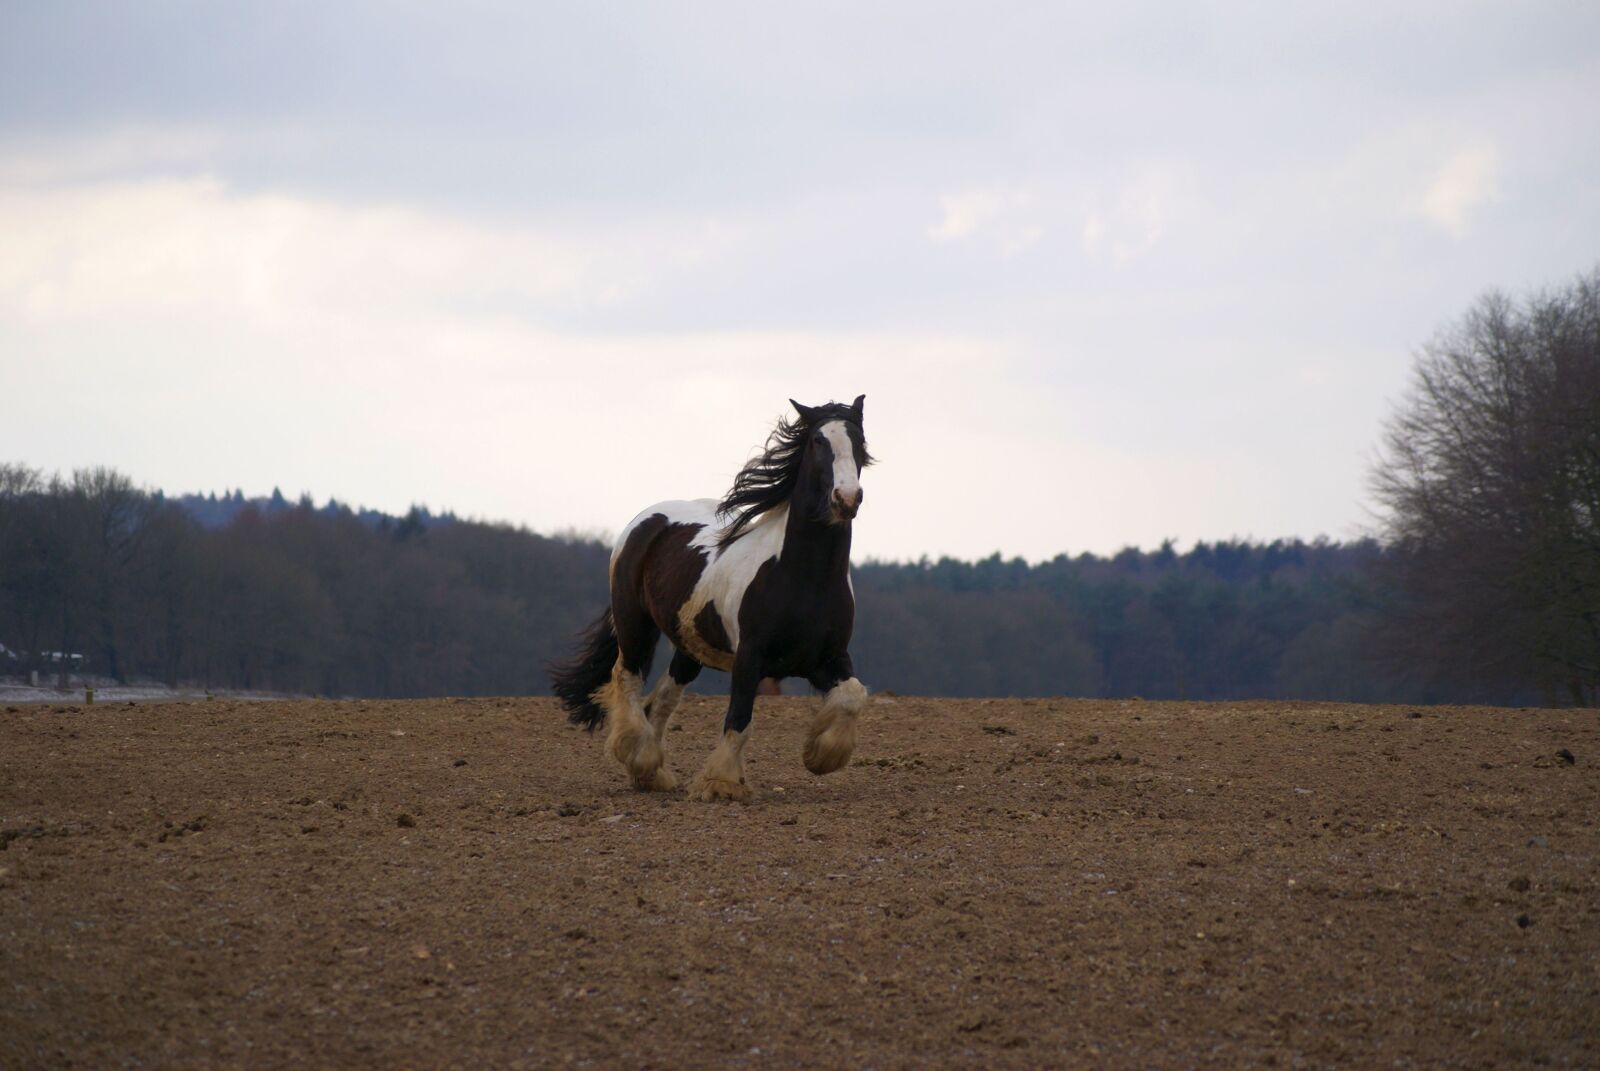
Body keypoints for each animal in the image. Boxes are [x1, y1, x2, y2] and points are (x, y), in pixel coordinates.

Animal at [549, 396, 873, 801]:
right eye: (817, 441)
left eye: (860, 443)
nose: (846, 498)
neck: (805, 580)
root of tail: (647, 520)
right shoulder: (749, 657)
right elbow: (739, 717)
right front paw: (721, 784)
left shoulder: (827, 658)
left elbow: (853, 696)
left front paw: (819, 756)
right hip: (634, 623)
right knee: (627, 678)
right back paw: (638, 757)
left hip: (689, 646)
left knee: (661, 700)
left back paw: (652, 774)